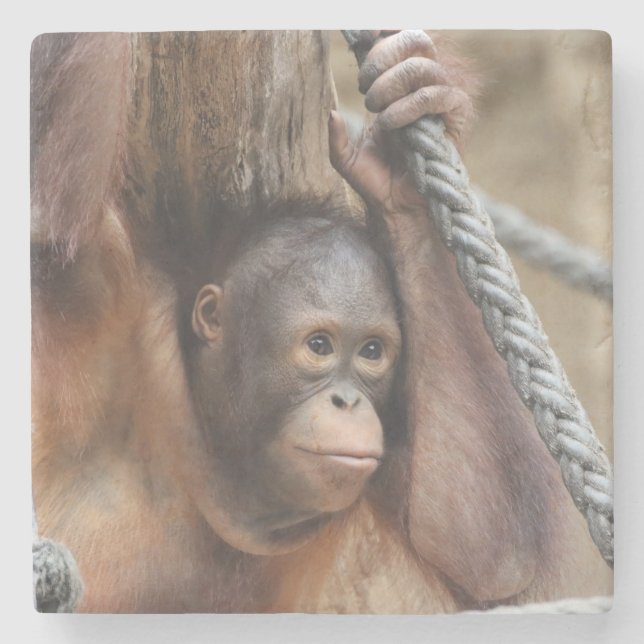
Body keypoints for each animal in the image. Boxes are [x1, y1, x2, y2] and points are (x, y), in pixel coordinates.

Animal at [31, 30, 608, 612]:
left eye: (372, 352)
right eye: (319, 346)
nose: (347, 401)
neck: (218, 451)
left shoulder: (390, 450)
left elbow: (492, 553)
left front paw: (407, 140)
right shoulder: (106, 295)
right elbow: (47, 218)